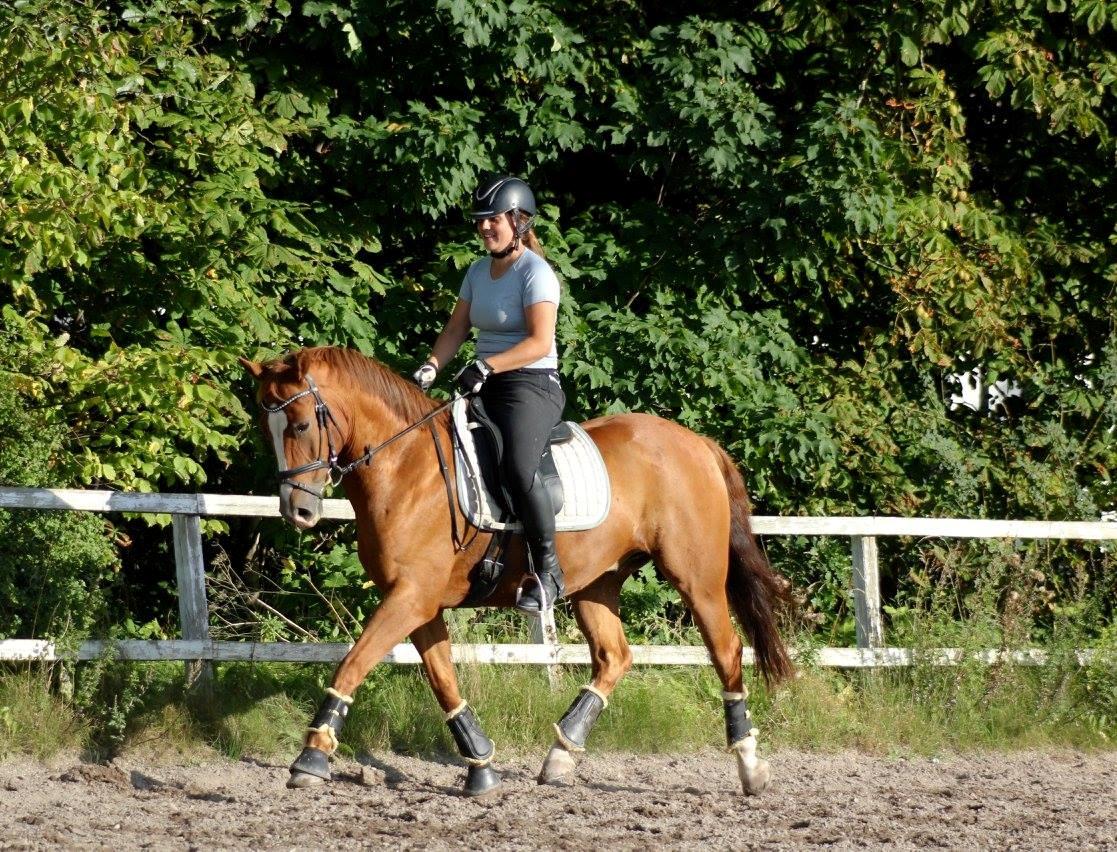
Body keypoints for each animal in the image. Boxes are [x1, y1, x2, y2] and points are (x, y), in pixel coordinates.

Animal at [239, 346, 790, 799]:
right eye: (266, 430)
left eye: (300, 425)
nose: (298, 512)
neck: (405, 468)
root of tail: (697, 443)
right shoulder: (419, 603)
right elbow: (443, 681)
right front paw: (480, 767)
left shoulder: (410, 598)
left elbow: (352, 664)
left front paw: (311, 757)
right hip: (596, 583)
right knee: (614, 656)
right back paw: (561, 756)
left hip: (696, 578)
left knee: (726, 651)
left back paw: (749, 766)